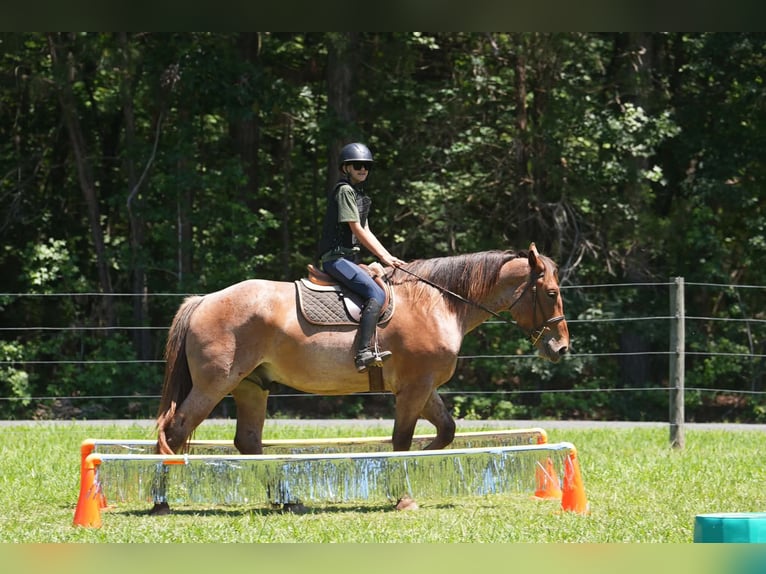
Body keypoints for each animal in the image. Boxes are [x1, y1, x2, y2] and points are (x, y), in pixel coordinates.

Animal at [155, 242, 569, 459]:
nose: (561, 347)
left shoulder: (424, 387)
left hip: (251, 387)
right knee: (175, 430)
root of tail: (203, 300)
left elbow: (446, 431)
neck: (437, 303)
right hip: (213, 386)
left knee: (247, 441)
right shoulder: (413, 389)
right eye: (551, 293)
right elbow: (401, 440)